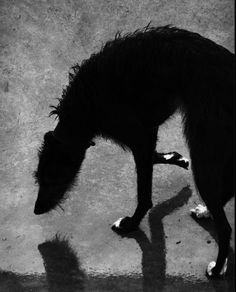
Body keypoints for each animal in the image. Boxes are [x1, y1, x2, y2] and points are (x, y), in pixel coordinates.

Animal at [33, 25, 234, 278]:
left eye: (53, 178)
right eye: (38, 178)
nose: (36, 210)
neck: (84, 106)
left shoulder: (136, 135)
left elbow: (144, 193)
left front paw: (131, 223)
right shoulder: (147, 130)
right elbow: (152, 157)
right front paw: (174, 158)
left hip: (204, 147)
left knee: (225, 226)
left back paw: (217, 267)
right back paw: (207, 211)